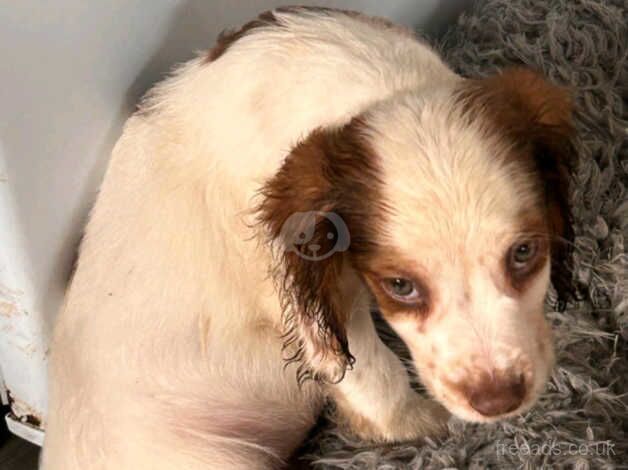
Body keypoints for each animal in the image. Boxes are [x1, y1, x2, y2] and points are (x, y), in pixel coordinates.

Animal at [41, 7, 576, 470]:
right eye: (400, 286)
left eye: (524, 252)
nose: (498, 400)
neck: (370, 83)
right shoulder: (306, 289)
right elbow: (368, 369)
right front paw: (421, 425)